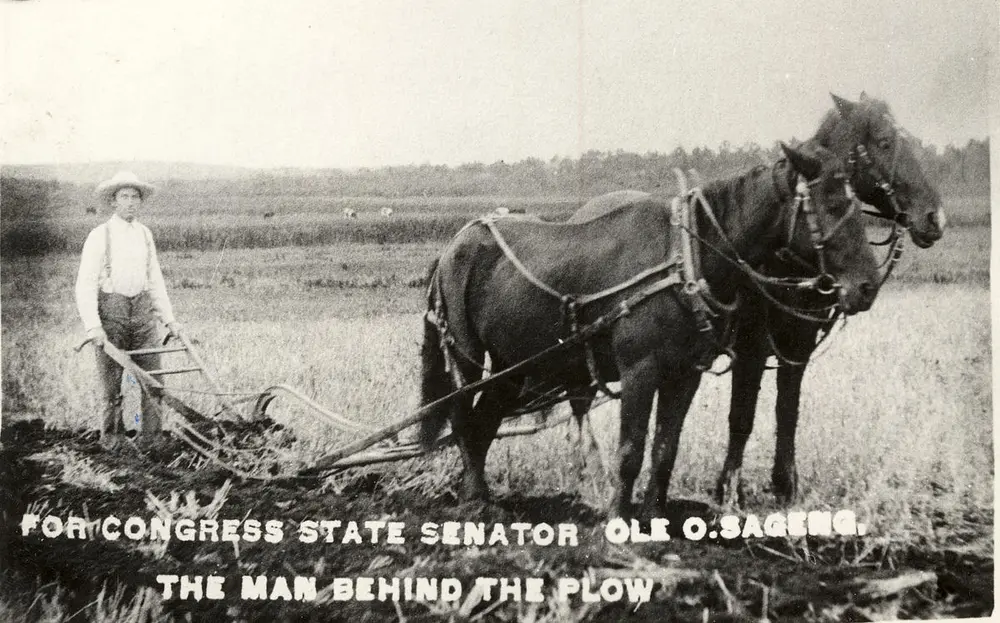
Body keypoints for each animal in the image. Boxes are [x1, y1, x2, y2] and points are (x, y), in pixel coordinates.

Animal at [422, 144, 884, 520]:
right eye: (829, 205)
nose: (867, 286)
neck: (685, 260)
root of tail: (453, 246)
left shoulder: (685, 372)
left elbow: (665, 448)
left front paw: (654, 515)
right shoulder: (639, 370)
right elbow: (631, 449)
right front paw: (617, 518)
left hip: (513, 364)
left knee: (484, 421)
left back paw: (480, 495)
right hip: (465, 352)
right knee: (463, 418)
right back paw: (475, 502)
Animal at [564, 95, 944, 510]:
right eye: (885, 141)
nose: (935, 217)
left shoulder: (798, 345)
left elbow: (787, 413)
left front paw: (785, 485)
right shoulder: (751, 349)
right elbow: (741, 416)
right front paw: (728, 489)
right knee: (580, 401)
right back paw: (592, 470)